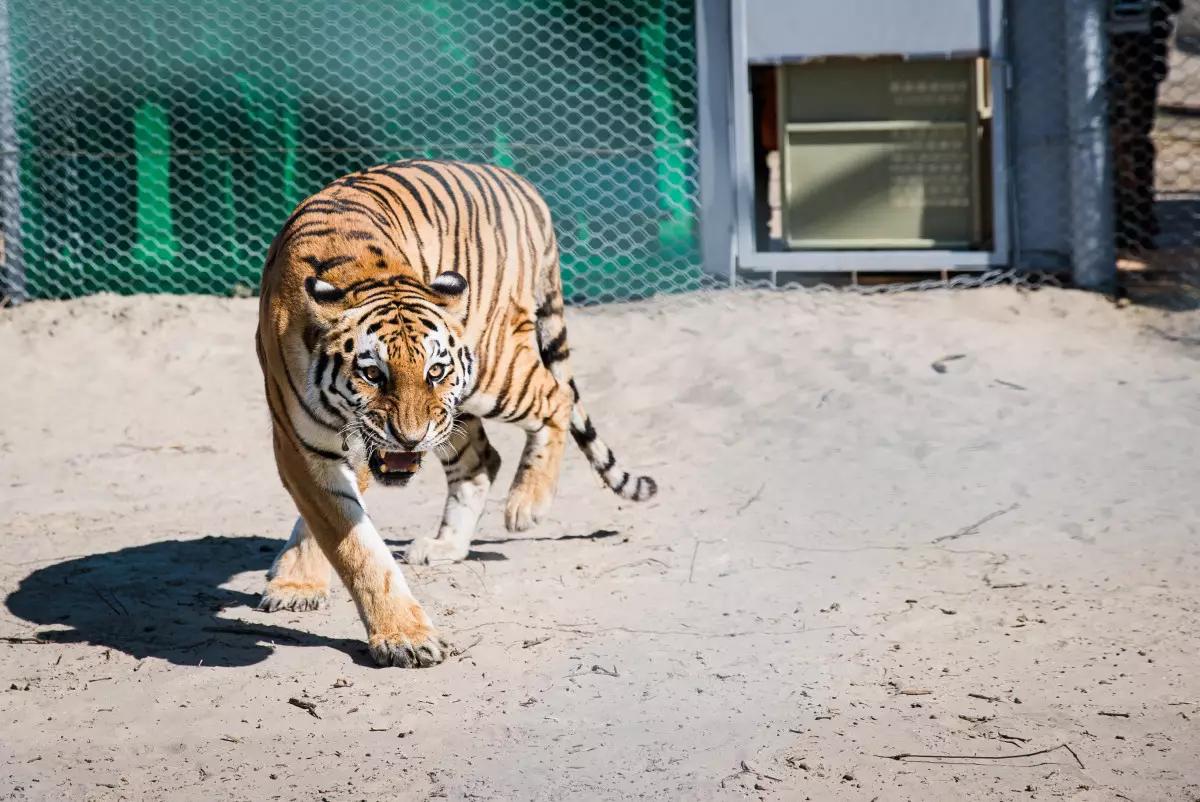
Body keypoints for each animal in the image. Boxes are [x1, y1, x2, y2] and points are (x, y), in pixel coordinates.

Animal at [252, 159, 657, 667]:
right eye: (373, 374)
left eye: (435, 370)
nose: (409, 438)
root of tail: (520, 183)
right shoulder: (302, 445)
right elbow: (347, 539)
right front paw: (303, 585)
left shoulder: (355, 445)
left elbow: (349, 541)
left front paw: (402, 637)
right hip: (455, 411)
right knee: (483, 458)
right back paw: (446, 544)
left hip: (491, 372)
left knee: (555, 397)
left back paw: (527, 505)